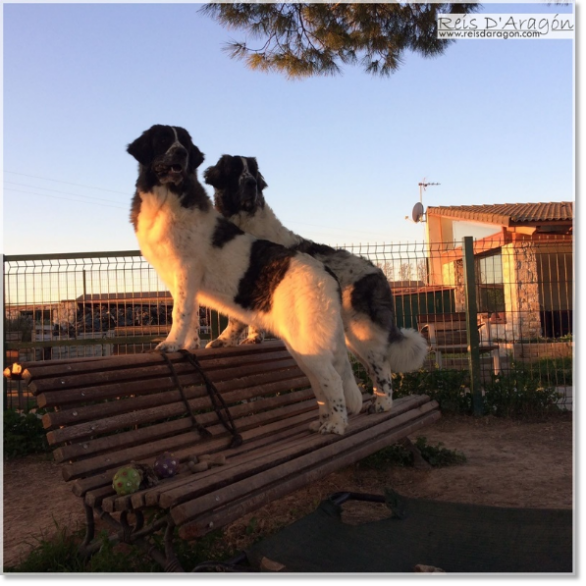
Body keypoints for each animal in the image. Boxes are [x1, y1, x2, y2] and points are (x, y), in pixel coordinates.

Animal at [126, 124, 360, 434]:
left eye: (183, 143)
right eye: (164, 139)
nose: (181, 153)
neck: (168, 195)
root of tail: (327, 273)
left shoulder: (186, 270)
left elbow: (180, 312)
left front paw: (171, 344)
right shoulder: (181, 280)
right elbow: (190, 314)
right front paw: (188, 345)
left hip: (309, 340)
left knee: (331, 379)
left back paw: (335, 426)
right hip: (303, 344)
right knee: (321, 380)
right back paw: (323, 420)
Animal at [203, 153, 426, 412]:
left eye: (253, 173)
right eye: (235, 170)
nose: (251, 184)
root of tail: (377, 271)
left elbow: (235, 319)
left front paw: (223, 341)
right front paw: (253, 338)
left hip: (364, 329)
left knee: (382, 365)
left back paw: (382, 404)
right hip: (351, 335)